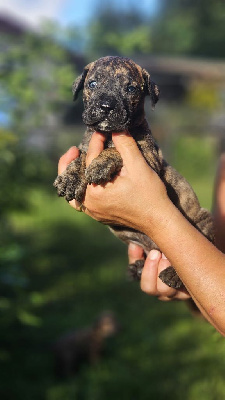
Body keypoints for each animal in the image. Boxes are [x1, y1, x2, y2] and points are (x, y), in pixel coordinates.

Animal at [54, 55, 214, 288]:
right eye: (92, 84)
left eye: (130, 89)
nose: (106, 106)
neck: (108, 134)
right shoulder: (86, 145)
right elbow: (80, 157)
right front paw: (70, 178)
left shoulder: (148, 158)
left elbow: (116, 151)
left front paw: (100, 165)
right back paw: (138, 267)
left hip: (204, 221)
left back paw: (173, 275)